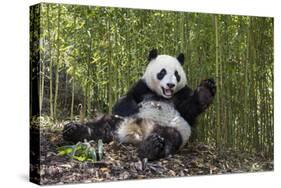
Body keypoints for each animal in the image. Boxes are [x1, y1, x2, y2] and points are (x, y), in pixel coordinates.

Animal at [63, 49, 215, 160]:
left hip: (173, 128)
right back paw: (73, 130)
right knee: (101, 126)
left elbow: (189, 110)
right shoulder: (142, 87)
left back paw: (151, 147)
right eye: (162, 72)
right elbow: (125, 99)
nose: (170, 85)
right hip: (118, 121)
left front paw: (205, 91)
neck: (162, 95)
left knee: (169, 136)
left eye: (176, 74)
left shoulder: (182, 94)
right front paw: (136, 108)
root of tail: (135, 135)